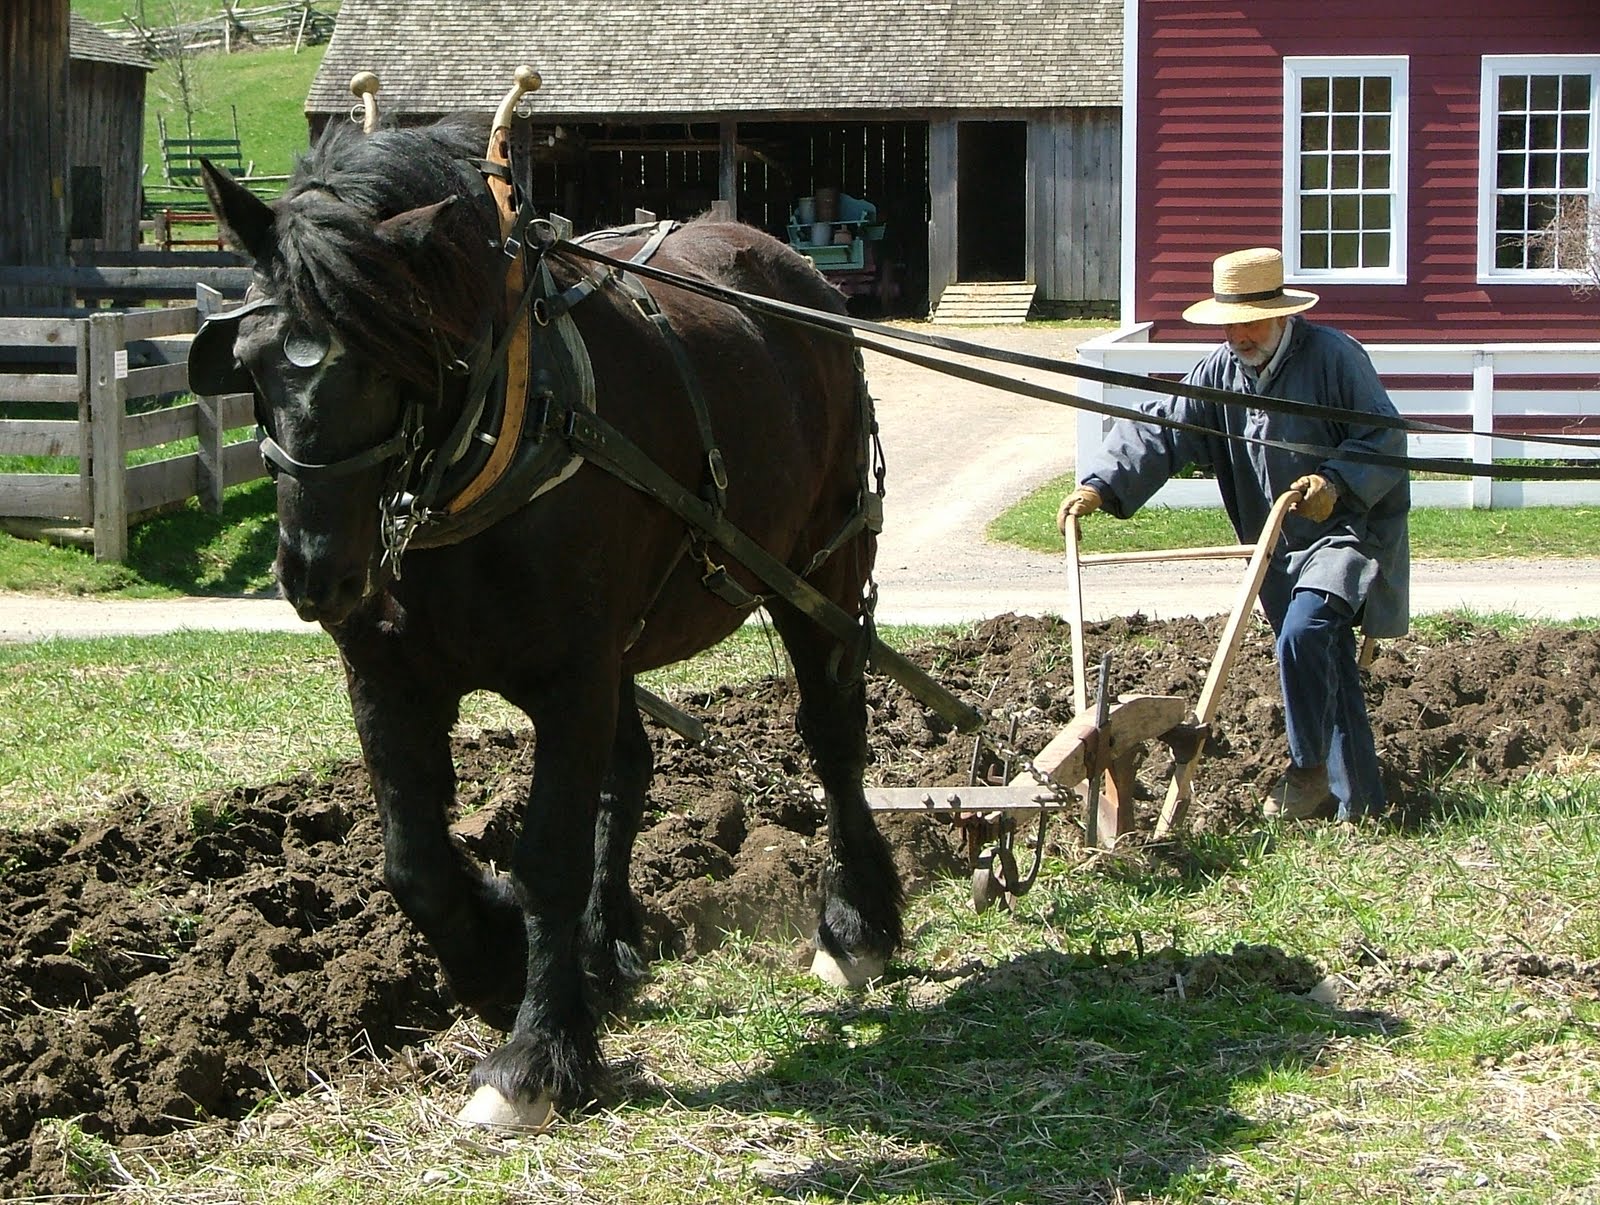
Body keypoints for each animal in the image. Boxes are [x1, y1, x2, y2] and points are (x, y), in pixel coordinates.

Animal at [190, 115, 902, 1126]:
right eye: (249, 362)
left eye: (396, 353)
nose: (317, 575)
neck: (497, 437)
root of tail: (793, 272)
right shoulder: (389, 676)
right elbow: (414, 863)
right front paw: (497, 963)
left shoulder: (572, 678)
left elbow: (548, 857)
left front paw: (535, 1052)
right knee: (629, 772)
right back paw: (606, 950)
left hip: (820, 569)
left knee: (832, 735)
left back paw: (853, 926)